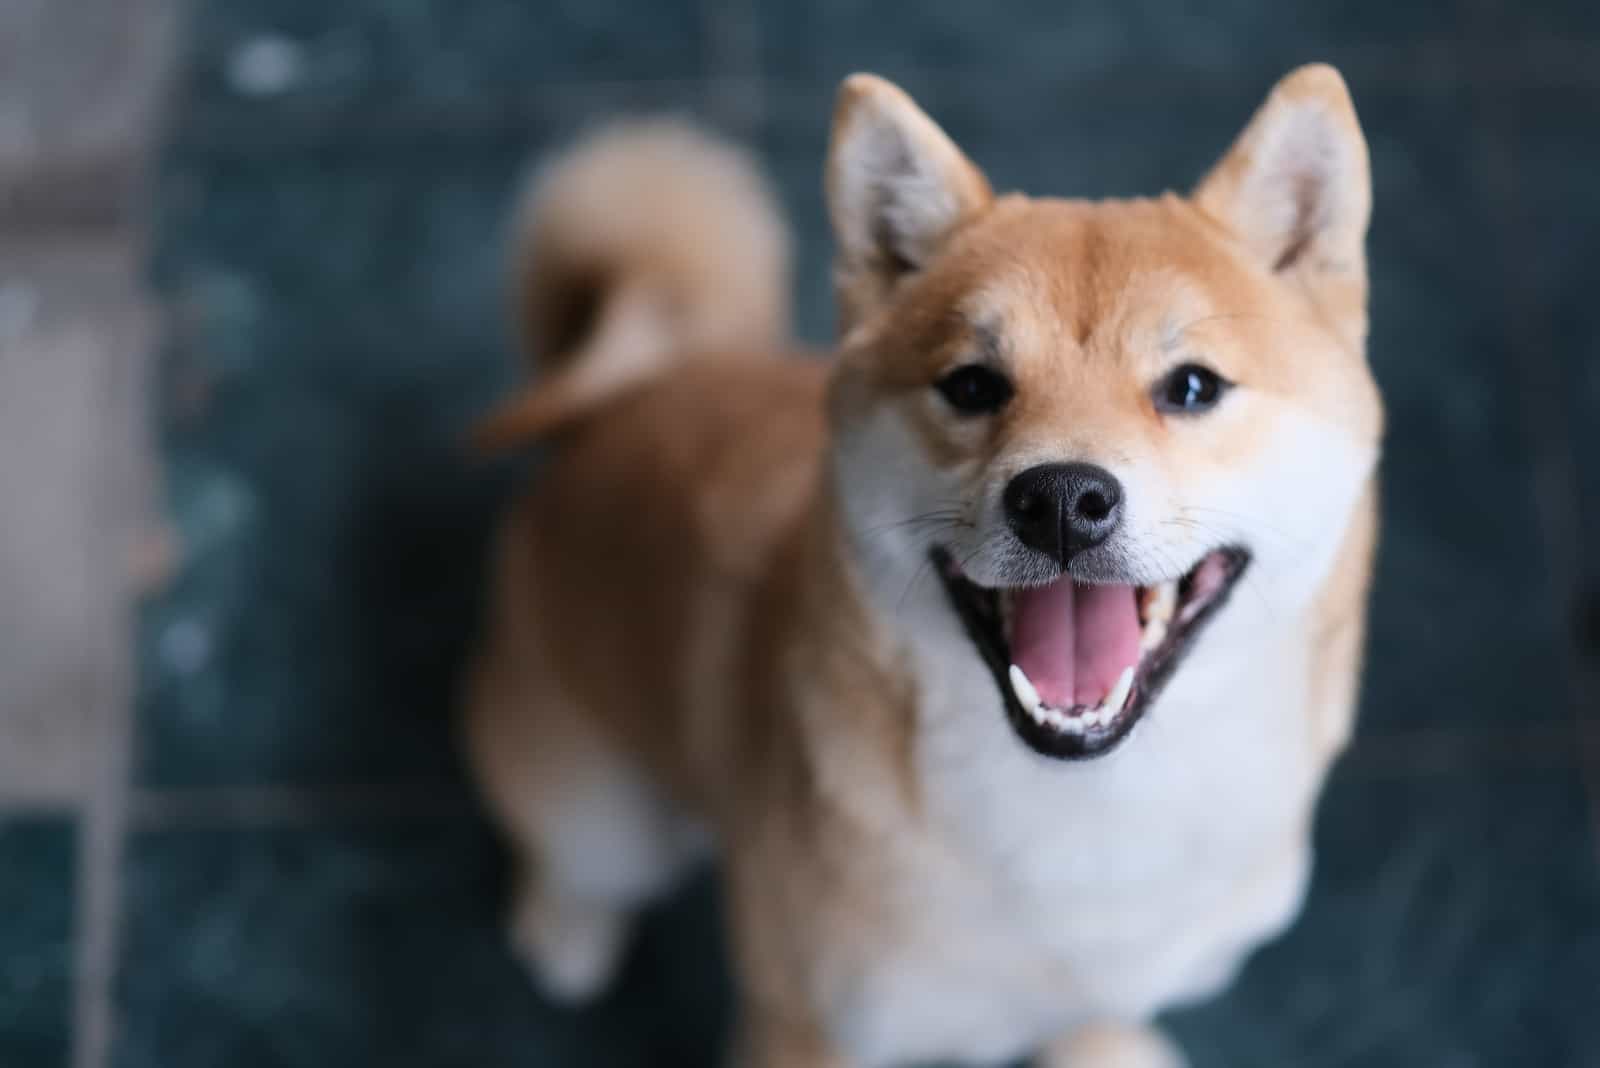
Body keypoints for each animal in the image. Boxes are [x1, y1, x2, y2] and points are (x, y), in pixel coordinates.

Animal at [467, 66, 1388, 1068]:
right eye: (973, 385)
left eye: (1191, 387)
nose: (1061, 498)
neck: (1086, 811)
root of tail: (626, 399)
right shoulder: (806, 1024)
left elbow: (1099, 1015)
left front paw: (1113, 1044)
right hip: (602, 807)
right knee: (571, 857)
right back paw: (567, 928)